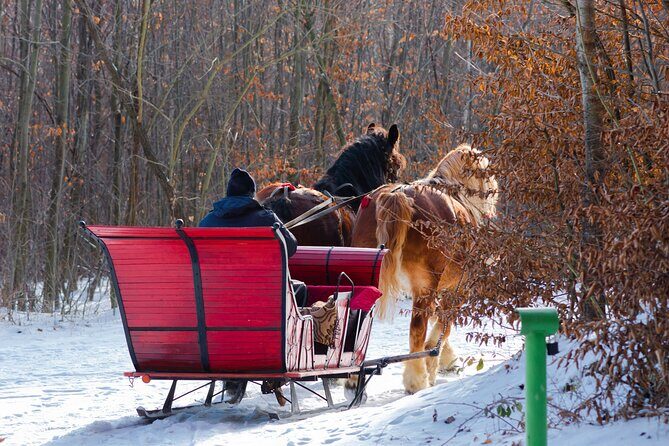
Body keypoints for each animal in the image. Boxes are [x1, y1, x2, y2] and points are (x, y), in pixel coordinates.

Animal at [350, 144, 498, 394]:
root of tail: (396, 195)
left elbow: (439, 318)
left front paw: (446, 357)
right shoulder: (459, 288)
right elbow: (443, 325)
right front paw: (435, 360)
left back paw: (352, 376)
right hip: (424, 287)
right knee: (416, 331)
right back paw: (417, 379)